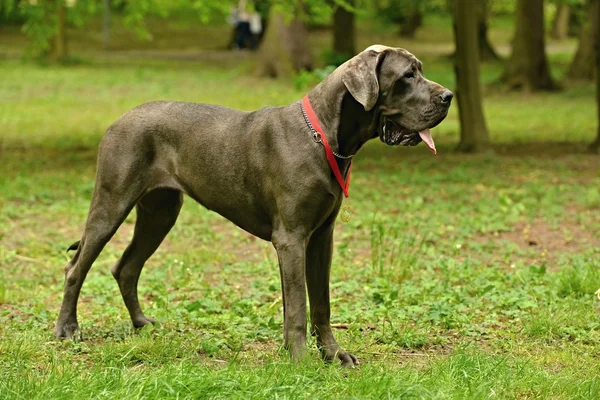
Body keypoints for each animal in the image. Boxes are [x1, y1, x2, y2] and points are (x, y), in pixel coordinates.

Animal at [55, 45, 450, 368]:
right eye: (407, 76)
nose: (448, 96)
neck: (324, 134)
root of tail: (118, 120)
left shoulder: (321, 237)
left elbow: (320, 303)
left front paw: (333, 354)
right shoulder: (291, 238)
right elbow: (299, 307)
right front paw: (301, 361)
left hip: (160, 213)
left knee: (126, 267)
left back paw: (141, 324)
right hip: (111, 204)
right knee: (76, 267)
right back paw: (67, 329)